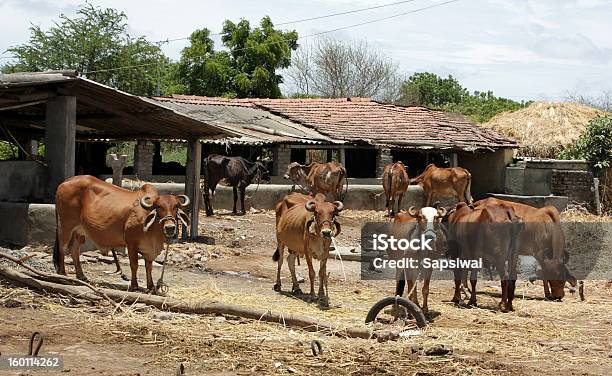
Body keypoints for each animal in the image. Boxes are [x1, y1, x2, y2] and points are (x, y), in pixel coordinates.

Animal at [53, 175, 190, 292]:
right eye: (158, 207)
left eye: (176, 206)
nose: (170, 227)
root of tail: (64, 183)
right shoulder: (131, 243)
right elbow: (134, 264)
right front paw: (134, 286)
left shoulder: (149, 249)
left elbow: (149, 266)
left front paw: (151, 287)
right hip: (66, 225)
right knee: (63, 247)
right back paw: (63, 273)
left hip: (79, 230)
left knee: (74, 249)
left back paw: (81, 276)